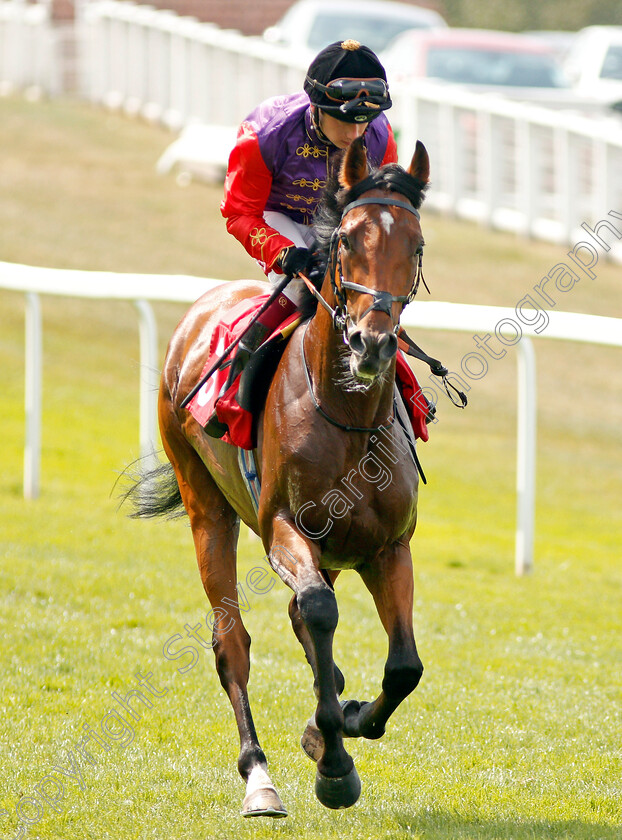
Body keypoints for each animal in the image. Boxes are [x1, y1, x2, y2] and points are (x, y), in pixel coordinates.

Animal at [128, 136, 434, 812]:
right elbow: (316, 611)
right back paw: (259, 775)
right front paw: (335, 765)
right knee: (233, 643)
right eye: (345, 240)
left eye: (417, 244)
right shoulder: (283, 529)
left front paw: (345, 722)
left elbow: (404, 666)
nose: (371, 342)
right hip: (206, 507)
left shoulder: (389, 546)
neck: (347, 417)